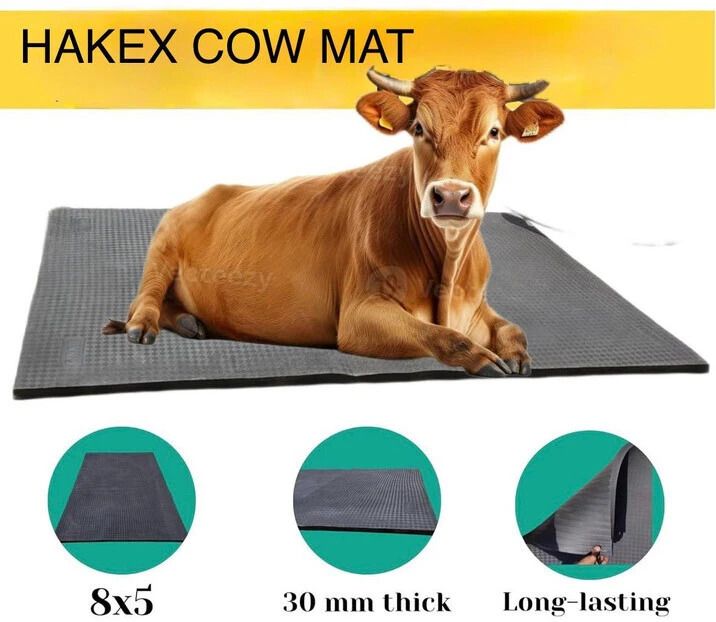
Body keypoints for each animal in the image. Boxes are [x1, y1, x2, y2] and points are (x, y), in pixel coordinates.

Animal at [104, 67, 564, 377]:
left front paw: (517, 356)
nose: (451, 195)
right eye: (418, 128)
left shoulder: (479, 306)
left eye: (494, 132)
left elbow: (513, 330)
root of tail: (210, 191)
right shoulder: (359, 315)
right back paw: (144, 325)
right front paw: (484, 360)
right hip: (162, 246)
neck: (448, 272)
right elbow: (444, 336)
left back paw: (190, 321)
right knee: (143, 299)